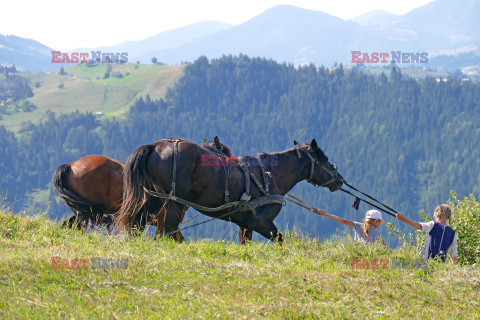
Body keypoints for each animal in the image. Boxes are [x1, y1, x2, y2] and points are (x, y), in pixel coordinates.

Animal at [115, 139, 344, 241]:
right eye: (323, 157)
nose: (339, 180)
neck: (270, 174)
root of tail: (155, 146)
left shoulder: (246, 224)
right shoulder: (261, 222)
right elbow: (280, 240)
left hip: (155, 198)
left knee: (139, 221)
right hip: (174, 202)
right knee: (167, 230)